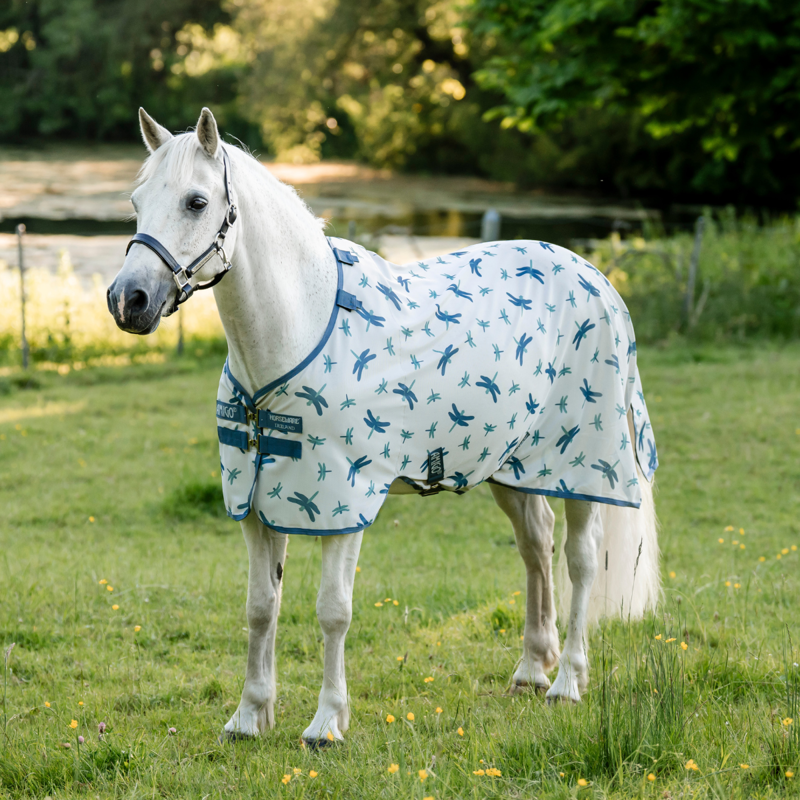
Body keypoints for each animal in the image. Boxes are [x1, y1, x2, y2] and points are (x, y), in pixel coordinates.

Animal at [107, 107, 660, 745]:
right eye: (137, 201)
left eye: (196, 202)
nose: (128, 300)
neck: (300, 330)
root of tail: (596, 277)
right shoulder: (257, 503)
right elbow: (260, 606)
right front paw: (249, 717)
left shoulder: (344, 506)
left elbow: (332, 611)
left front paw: (326, 722)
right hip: (513, 466)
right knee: (536, 547)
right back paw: (530, 670)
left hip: (583, 468)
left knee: (581, 560)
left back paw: (568, 680)